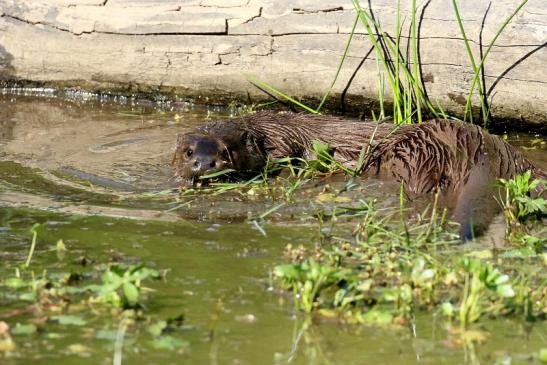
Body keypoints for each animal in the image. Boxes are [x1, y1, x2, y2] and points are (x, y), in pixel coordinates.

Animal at [174, 111, 544, 239]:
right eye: (189, 152)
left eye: (226, 152)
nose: (203, 165)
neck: (269, 129)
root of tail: (478, 143)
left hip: (410, 155)